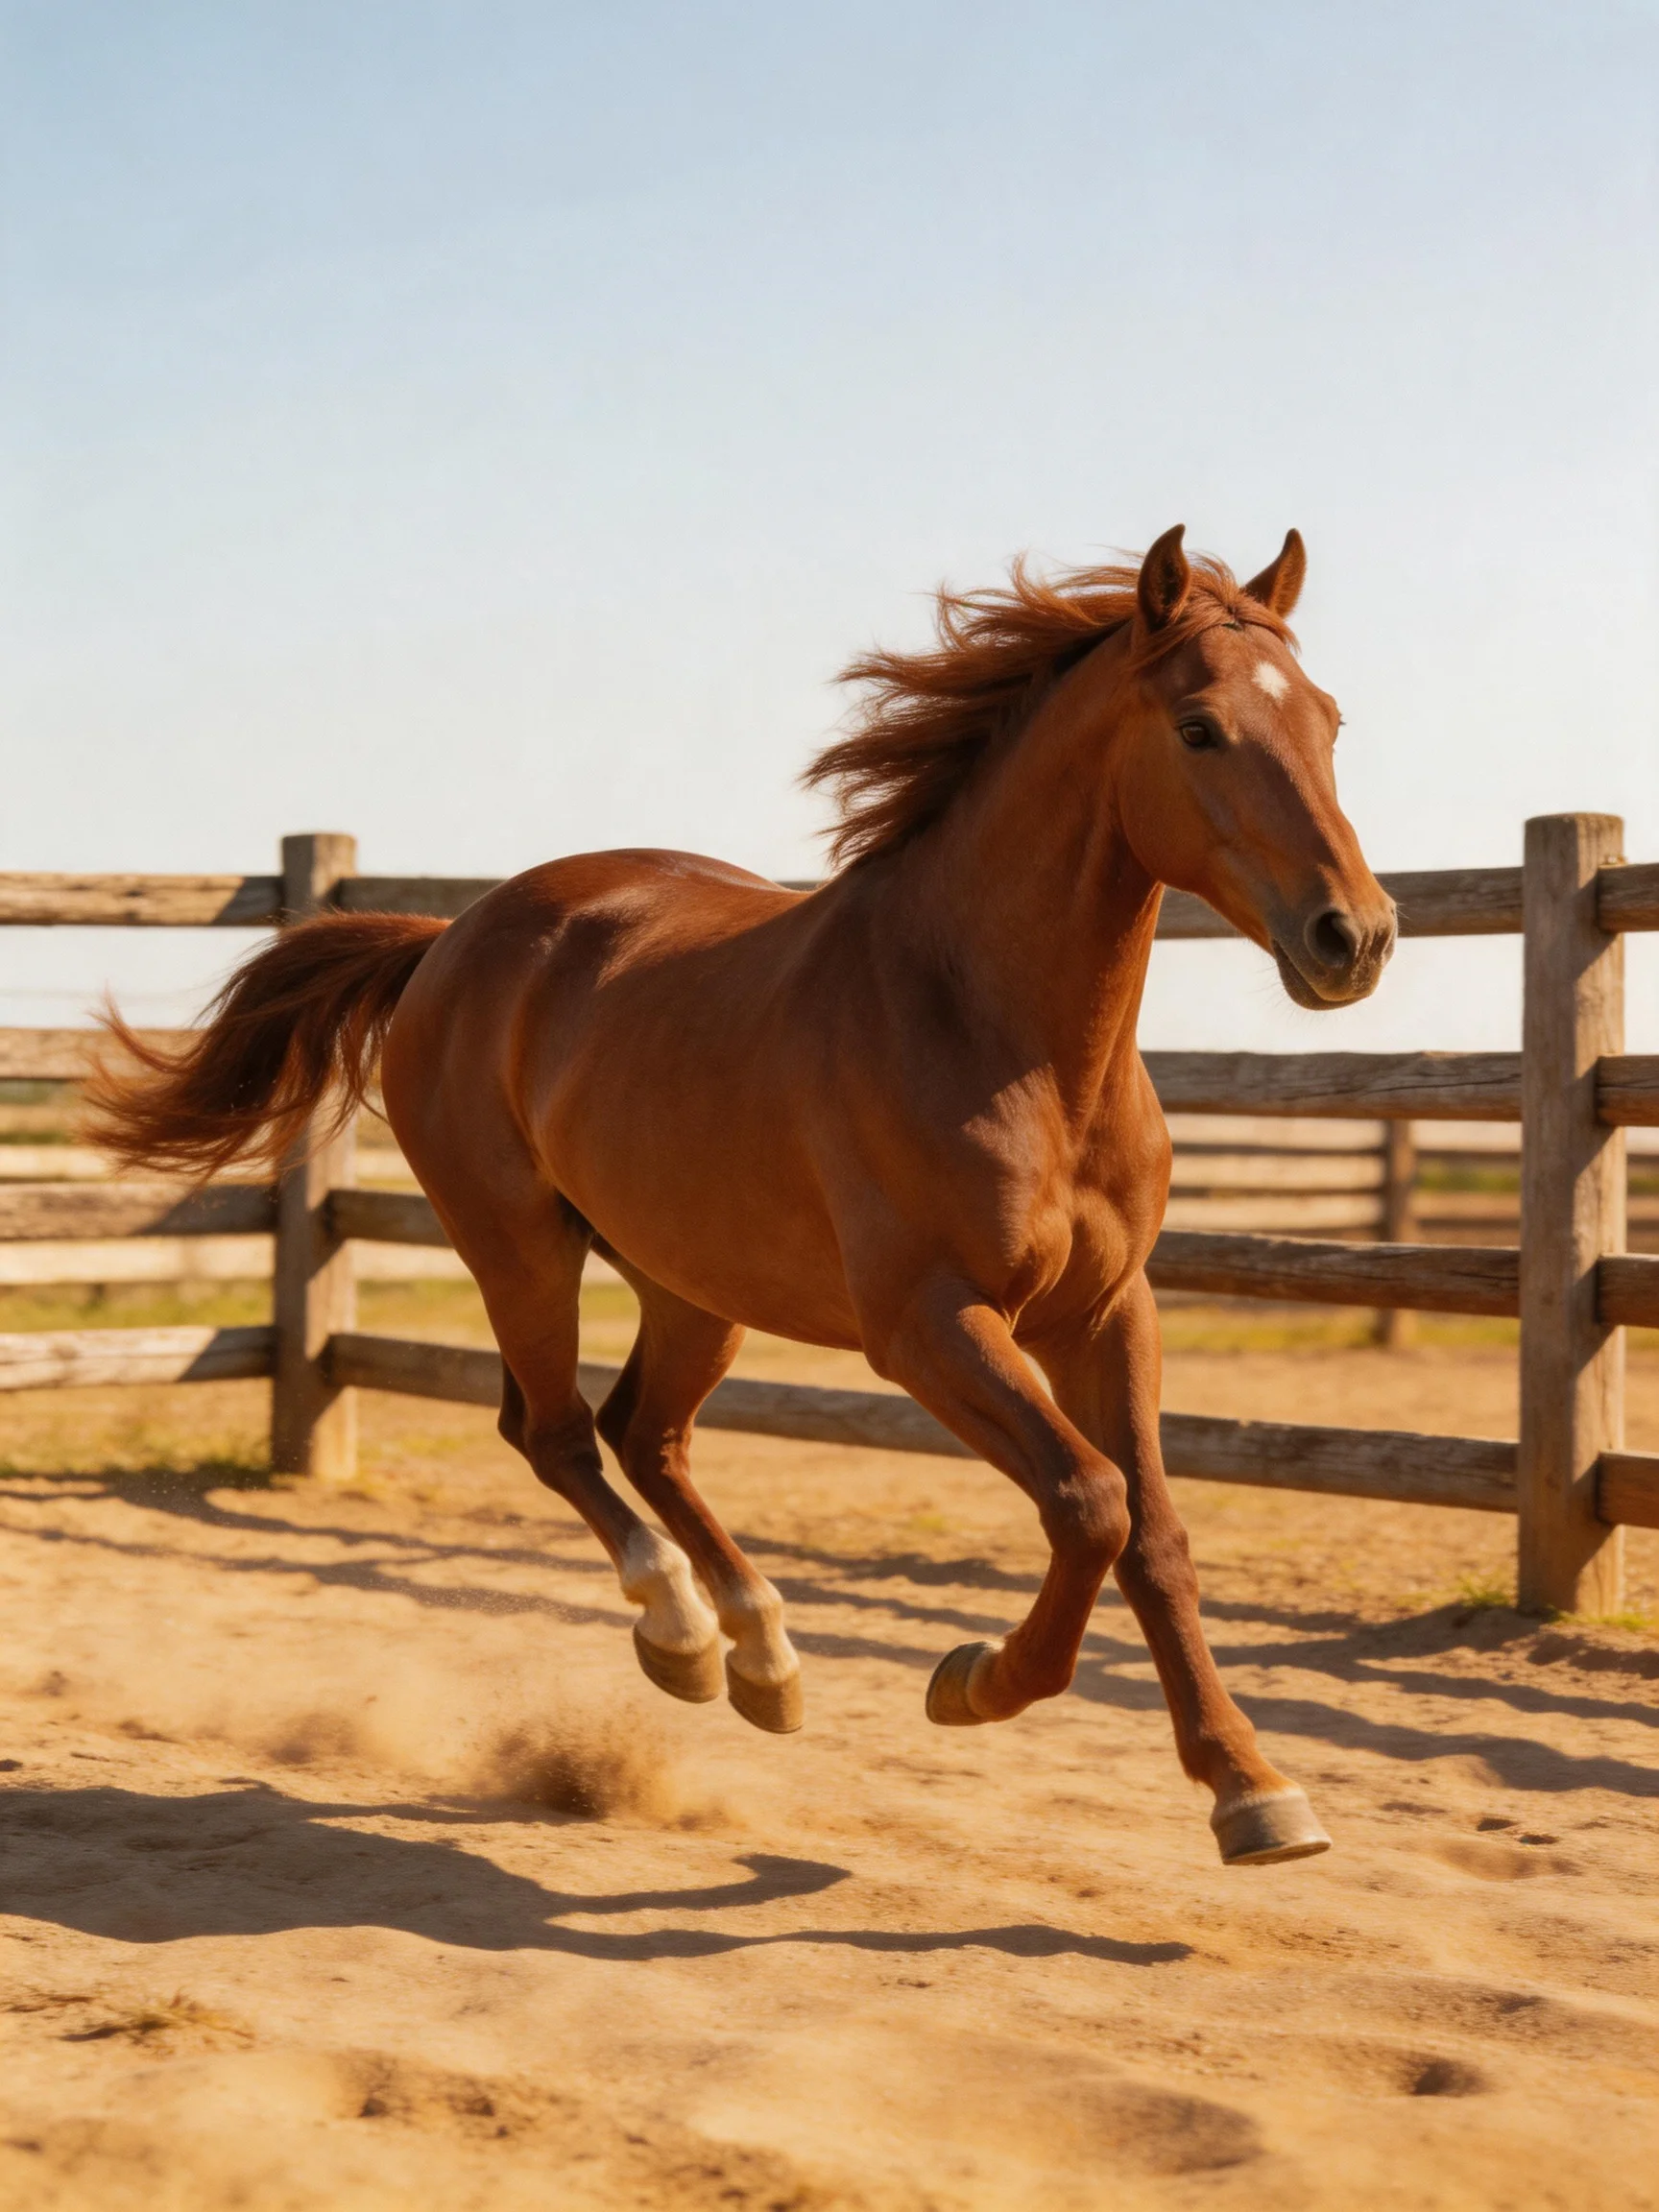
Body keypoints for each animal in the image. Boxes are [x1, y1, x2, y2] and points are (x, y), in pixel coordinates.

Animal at [89, 525, 1395, 1867]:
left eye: (1330, 720)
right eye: (1198, 727)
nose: (1353, 937)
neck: (1001, 1036)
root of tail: (447, 939)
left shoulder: (1105, 1312)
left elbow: (1158, 1534)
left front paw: (1251, 1790)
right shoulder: (926, 1325)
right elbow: (1089, 1503)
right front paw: (972, 1681)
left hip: (690, 1282)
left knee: (644, 1433)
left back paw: (763, 1660)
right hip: (519, 1247)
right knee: (556, 1431)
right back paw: (678, 1634)